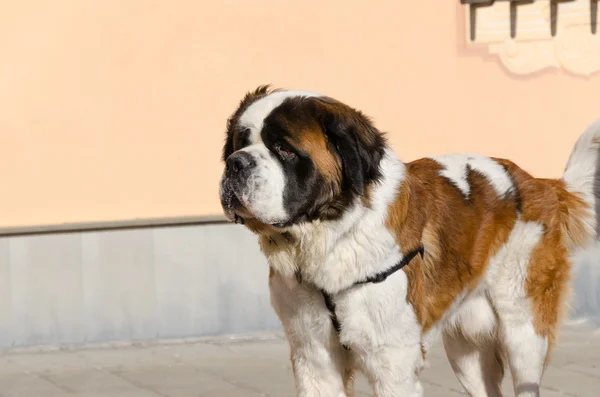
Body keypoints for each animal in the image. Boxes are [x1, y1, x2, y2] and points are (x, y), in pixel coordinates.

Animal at [219, 86, 600, 396]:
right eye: (240, 143)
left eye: (283, 148)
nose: (235, 163)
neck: (333, 236)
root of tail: (541, 184)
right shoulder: (314, 357)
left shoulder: (392, 362)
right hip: (467, 352)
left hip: (524, 330)